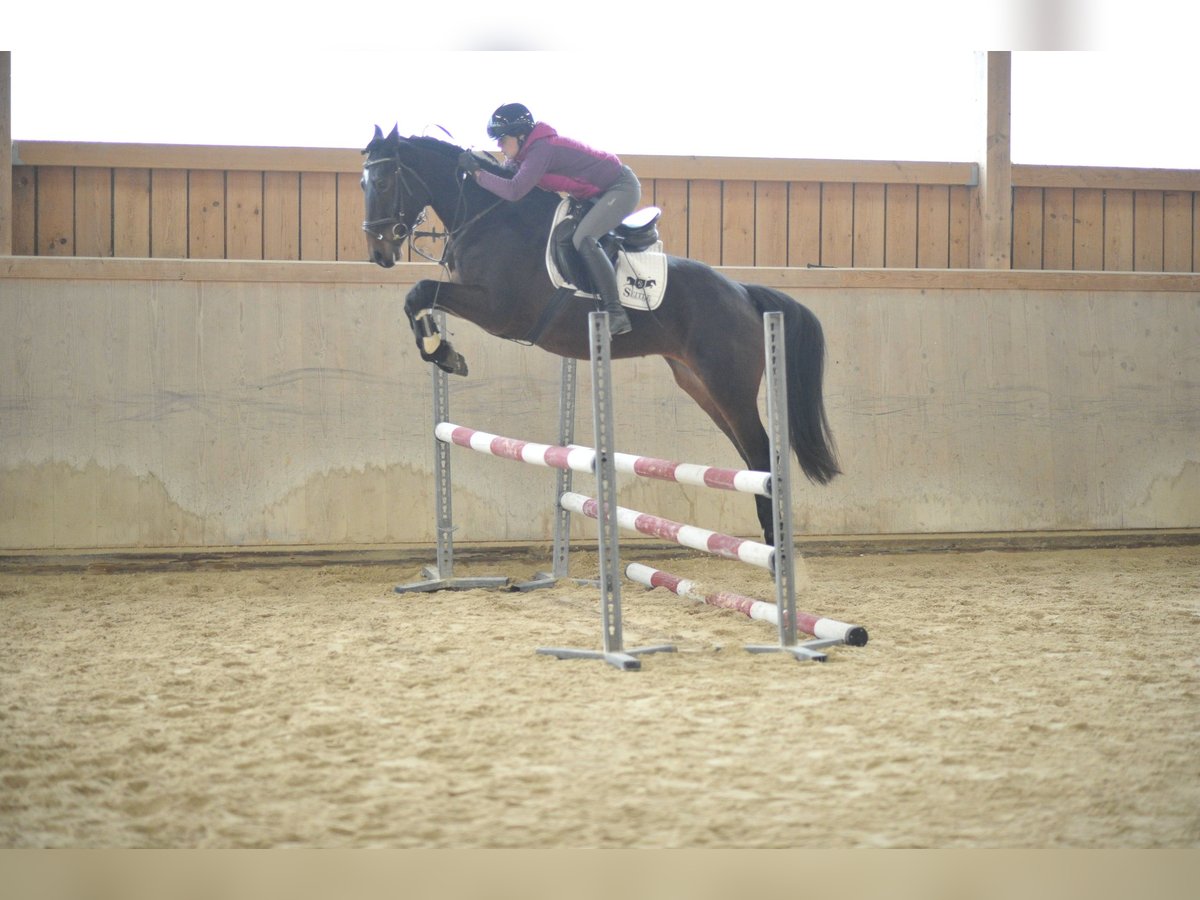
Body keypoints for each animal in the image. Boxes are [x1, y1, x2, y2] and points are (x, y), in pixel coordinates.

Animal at [360, 126, 840, 542]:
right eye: (364, 181)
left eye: (382, 181)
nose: (379, 253)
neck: (486, 217)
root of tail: (742, 292)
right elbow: (418, 299)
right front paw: (441, 351)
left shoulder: (499, 311)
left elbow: (420, 291)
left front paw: (442, 353)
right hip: (701, 385)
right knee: (750, 456)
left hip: (729, 385)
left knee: (761, 453)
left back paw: (775, 546)